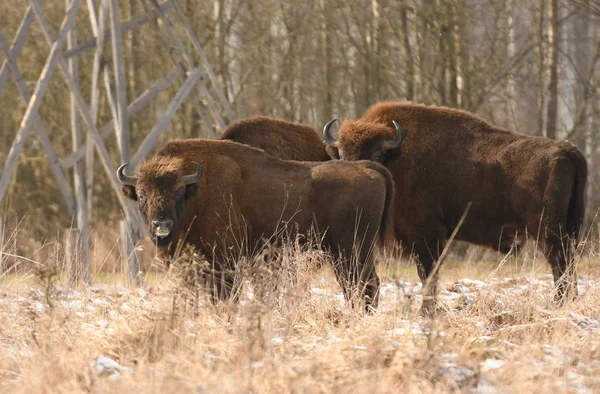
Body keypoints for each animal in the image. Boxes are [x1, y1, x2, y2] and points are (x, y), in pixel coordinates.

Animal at [119, 139, 396, 310]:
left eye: (178, 193)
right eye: (141, 195)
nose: (161, 226)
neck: (197, 191)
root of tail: (367, 167)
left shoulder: (225, 262)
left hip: (350, 251)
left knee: (363, 285)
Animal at [324, 101, 584, 314]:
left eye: (377, 154)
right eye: (342, 155)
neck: (398, 156)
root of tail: (565, 149)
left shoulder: (426, 237)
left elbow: (428, 274)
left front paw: (426, 311)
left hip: (549, 233)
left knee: (560, 265)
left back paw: (559, 304)